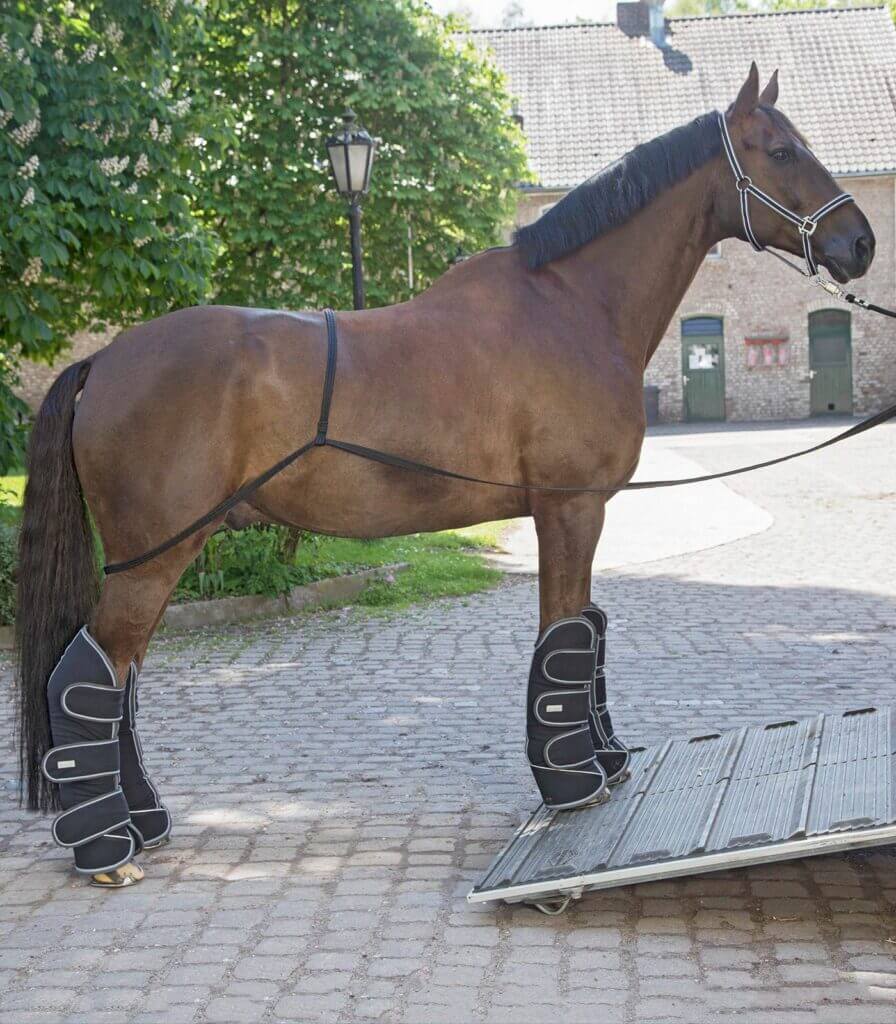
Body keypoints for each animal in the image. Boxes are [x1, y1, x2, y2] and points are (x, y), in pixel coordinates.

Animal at [15, 64, 875, 886]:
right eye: (781, 150)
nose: (859, 242)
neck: (572, 306)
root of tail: (105, 360)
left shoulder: (579, 512)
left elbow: (586, 631)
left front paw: (604, 761)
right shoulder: (570, 509)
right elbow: (563, 635)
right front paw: (575, 783)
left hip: (161, 554)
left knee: (118, 680)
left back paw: (143, 823)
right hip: (156, 556)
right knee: (86, 675)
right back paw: (108, 851)